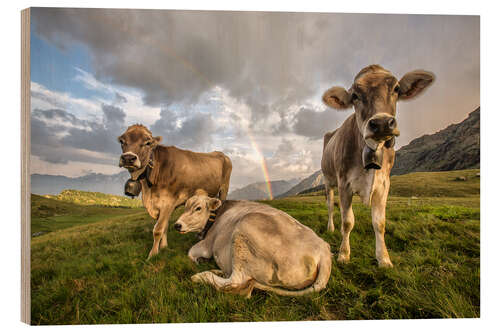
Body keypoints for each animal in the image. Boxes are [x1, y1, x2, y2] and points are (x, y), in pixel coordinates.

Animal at [117, 123, 232, 258]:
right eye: (122, 141)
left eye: (148, 142)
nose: (128, 158)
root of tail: (221, 153)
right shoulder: (161, 205)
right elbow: (165, 226)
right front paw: (164, 247)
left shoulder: (168, 202)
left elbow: (158, 229)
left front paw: (152, 254)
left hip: (224, 188)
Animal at [173, 191, 332, 296]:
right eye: (185, 207)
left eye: (198, 208)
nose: (177, 225)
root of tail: (323, 250)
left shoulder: (207, 244)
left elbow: (190, 253)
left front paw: (200, 260)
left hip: (244, 228)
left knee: (236, 281)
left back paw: (201, 276)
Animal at [320, 64, 434, 268]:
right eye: (354, 95)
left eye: (396, 88)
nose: (381, 123)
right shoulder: (344, 184)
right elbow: (347, 221)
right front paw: (343, 254)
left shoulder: (384, 184)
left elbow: (379, 223)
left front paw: (384, 258)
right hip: (328, 181)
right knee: (331, 206)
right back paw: (331, 228)